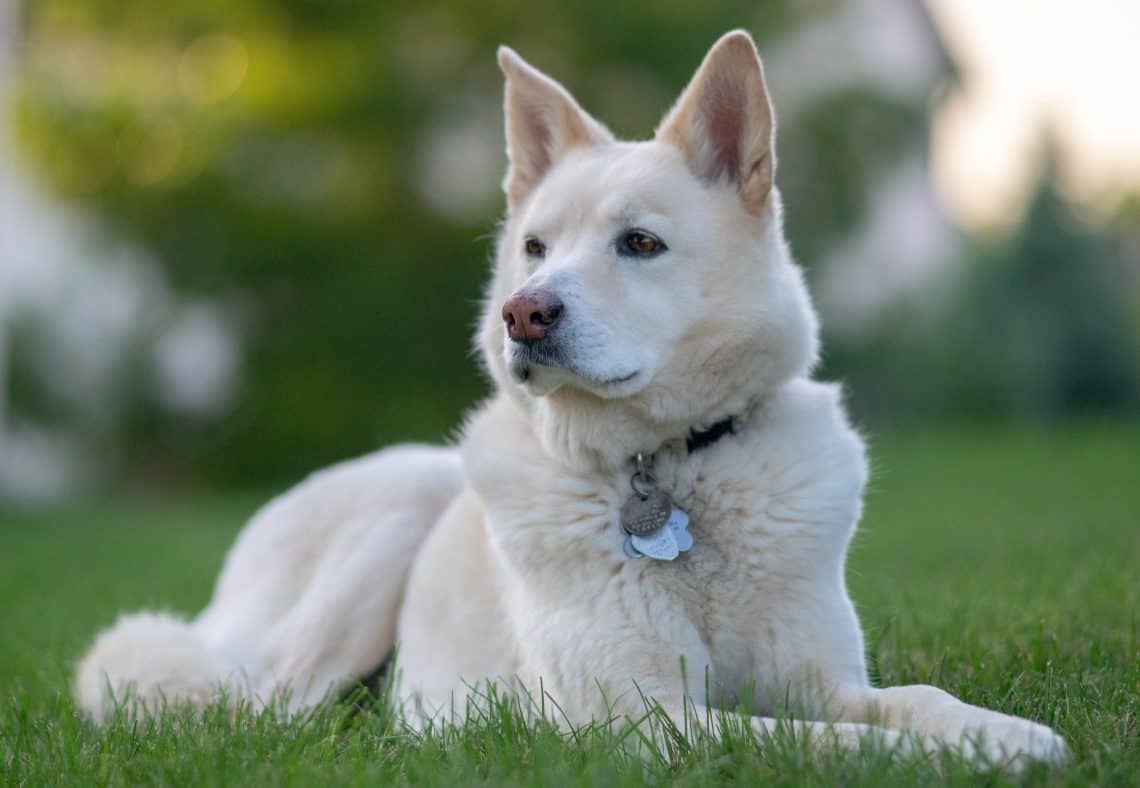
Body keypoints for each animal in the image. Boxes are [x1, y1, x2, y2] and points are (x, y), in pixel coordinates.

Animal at [78, 30, 1067, 770]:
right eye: (535, 247)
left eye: (641, 243)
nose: (523, 314)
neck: (666, 468)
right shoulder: (644, 719)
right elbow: (826, 745)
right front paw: (962, 759)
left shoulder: (821, 678)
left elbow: (911, 700)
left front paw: (1004, 733)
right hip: (386, 531)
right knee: (259, 715)